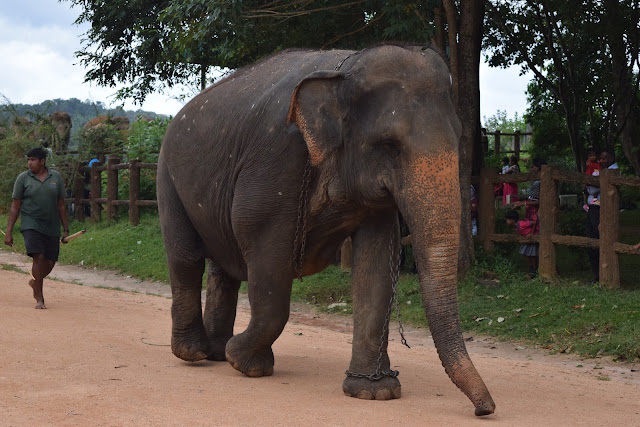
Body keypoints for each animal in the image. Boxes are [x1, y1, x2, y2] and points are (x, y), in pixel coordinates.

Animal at [158, 45, 498, 416]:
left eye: (461, 136)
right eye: (389, 144)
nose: (484, 409)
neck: (345, 71)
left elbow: (377, 262)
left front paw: (374, 391)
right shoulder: (277, 157)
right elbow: (264, 247)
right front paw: (247, 364)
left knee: (222, 268)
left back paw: (217, 352)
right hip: (168, 175)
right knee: (187, 257)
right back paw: (195, 353)